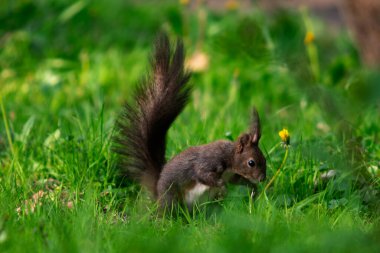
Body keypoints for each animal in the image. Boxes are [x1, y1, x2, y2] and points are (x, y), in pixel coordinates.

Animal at [113, 33, 268, 210]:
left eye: (264, 158)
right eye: (251, 162)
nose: (262, 178)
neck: (229, 158)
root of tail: (157, 193)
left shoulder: (232, 175)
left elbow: (238, 181)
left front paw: (253, 189)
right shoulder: (209, 162)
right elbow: (203, 174)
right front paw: (223, 187)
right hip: (171, 197)